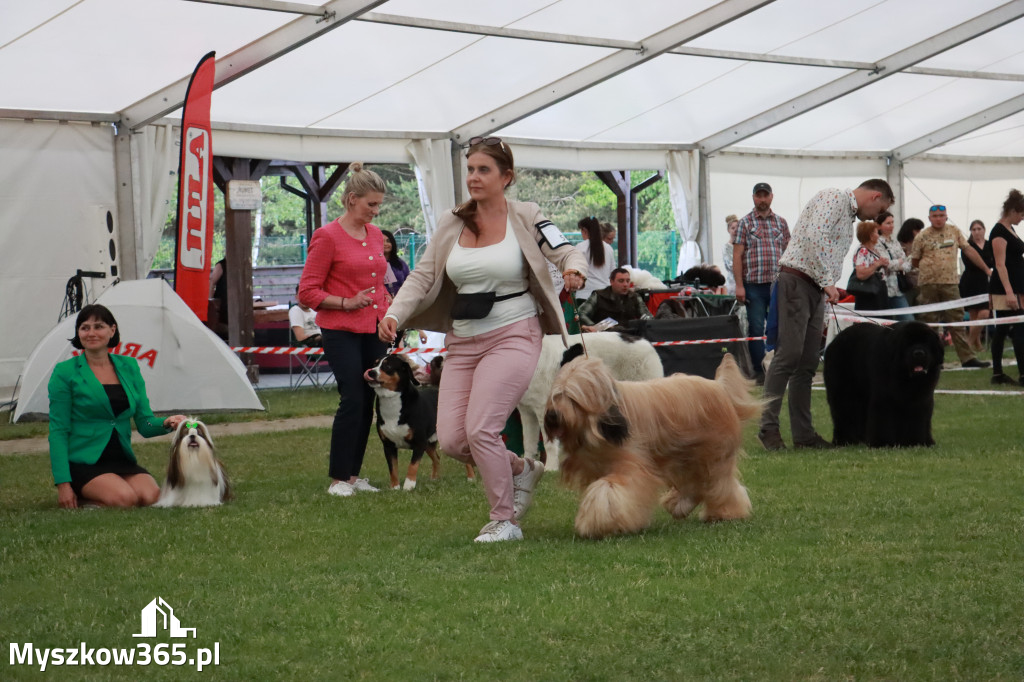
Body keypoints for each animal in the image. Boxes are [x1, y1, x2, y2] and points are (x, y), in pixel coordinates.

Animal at [364, 350, 475, 489]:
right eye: (375, 364)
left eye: (387, 366)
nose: (371, 372)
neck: (392, 403)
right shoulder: (388, 445)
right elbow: (393, 469)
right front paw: (395, 488)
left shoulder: (419, 443)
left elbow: (412, 466)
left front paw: (408, 486)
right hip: (429, 443)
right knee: (437, 458)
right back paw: (434, 479)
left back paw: (471, 478)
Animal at [544, 350, 761, 536]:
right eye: (555, 395)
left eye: (572, 398)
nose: (552, 415)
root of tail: (719, 387)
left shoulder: (631, 464)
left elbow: (610, 491)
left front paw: (603, 524)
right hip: (686, 455)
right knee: (697, 485)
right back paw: (679, 506)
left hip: (713, 454)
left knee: (720, 484)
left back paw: (725, 512)